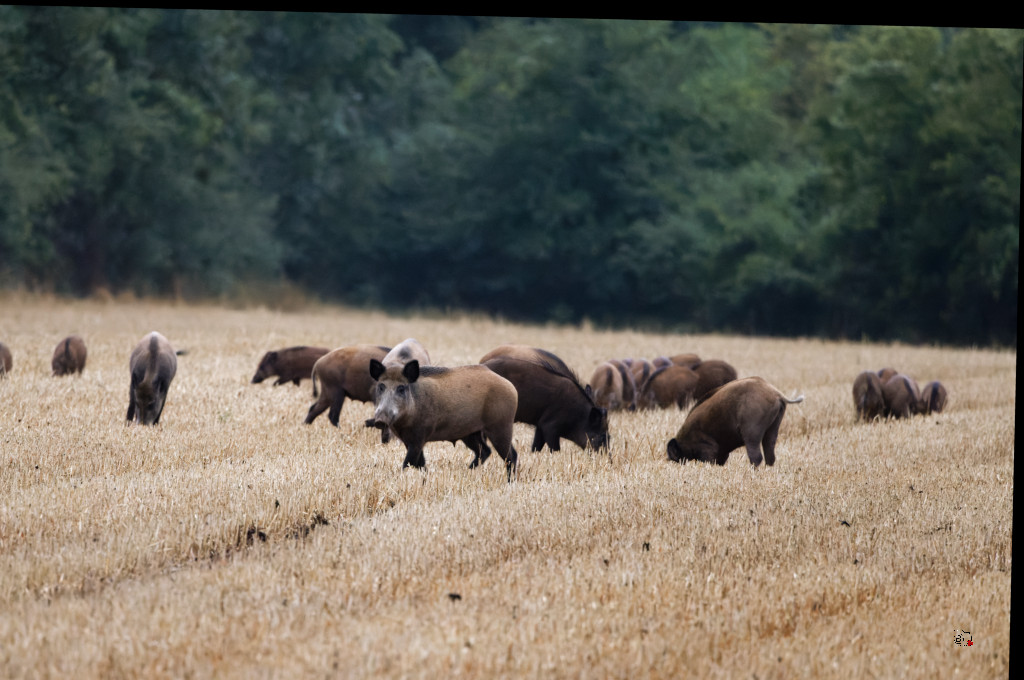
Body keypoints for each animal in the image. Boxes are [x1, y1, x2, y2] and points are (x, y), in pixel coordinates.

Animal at [369, 359, 518, 478]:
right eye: (381, 386)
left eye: (401, 388)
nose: (380, 420)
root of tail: (511, 387)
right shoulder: (408, 439)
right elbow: (420, 464)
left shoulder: (419, 436)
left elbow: (408, 463)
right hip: (470, 433)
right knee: (485, 451)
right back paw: (467, 472)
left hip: (501, 426)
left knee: (510, 456)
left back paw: (510, 482)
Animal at [479, 345, 609, 453]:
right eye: (603, 435)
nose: (609, 459)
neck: (579, 415)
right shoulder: (549, 427)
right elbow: (555, 449)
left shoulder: (540, 425)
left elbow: (536, 447)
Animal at [666, 377, 804, 467]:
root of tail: (777, 394)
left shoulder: (708, 450)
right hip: (772, 429)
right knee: (770, 455)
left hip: (752, 432)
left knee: (756, 456)